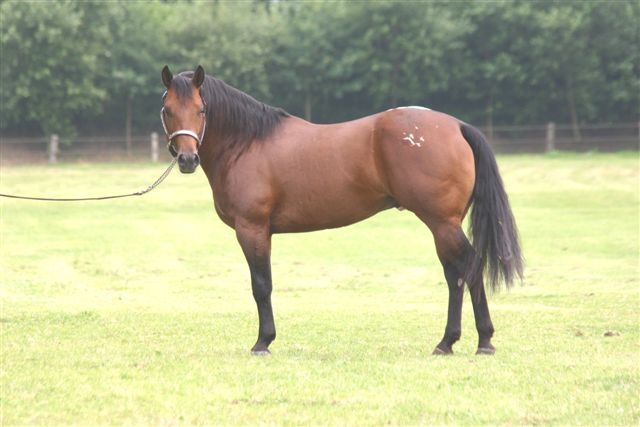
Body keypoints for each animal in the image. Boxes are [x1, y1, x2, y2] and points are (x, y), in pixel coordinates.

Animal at [160, 65, 523, 356]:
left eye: (202, 110)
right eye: (167, 110)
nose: (188, 159)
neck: (248, 143)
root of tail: (457, 126)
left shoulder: (253, 229)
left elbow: (261, 285)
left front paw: (263, 342)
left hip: (442, 223)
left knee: (470, 266)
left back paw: (484, 341)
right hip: (444, 225)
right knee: (455, 275)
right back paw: (448, 342)